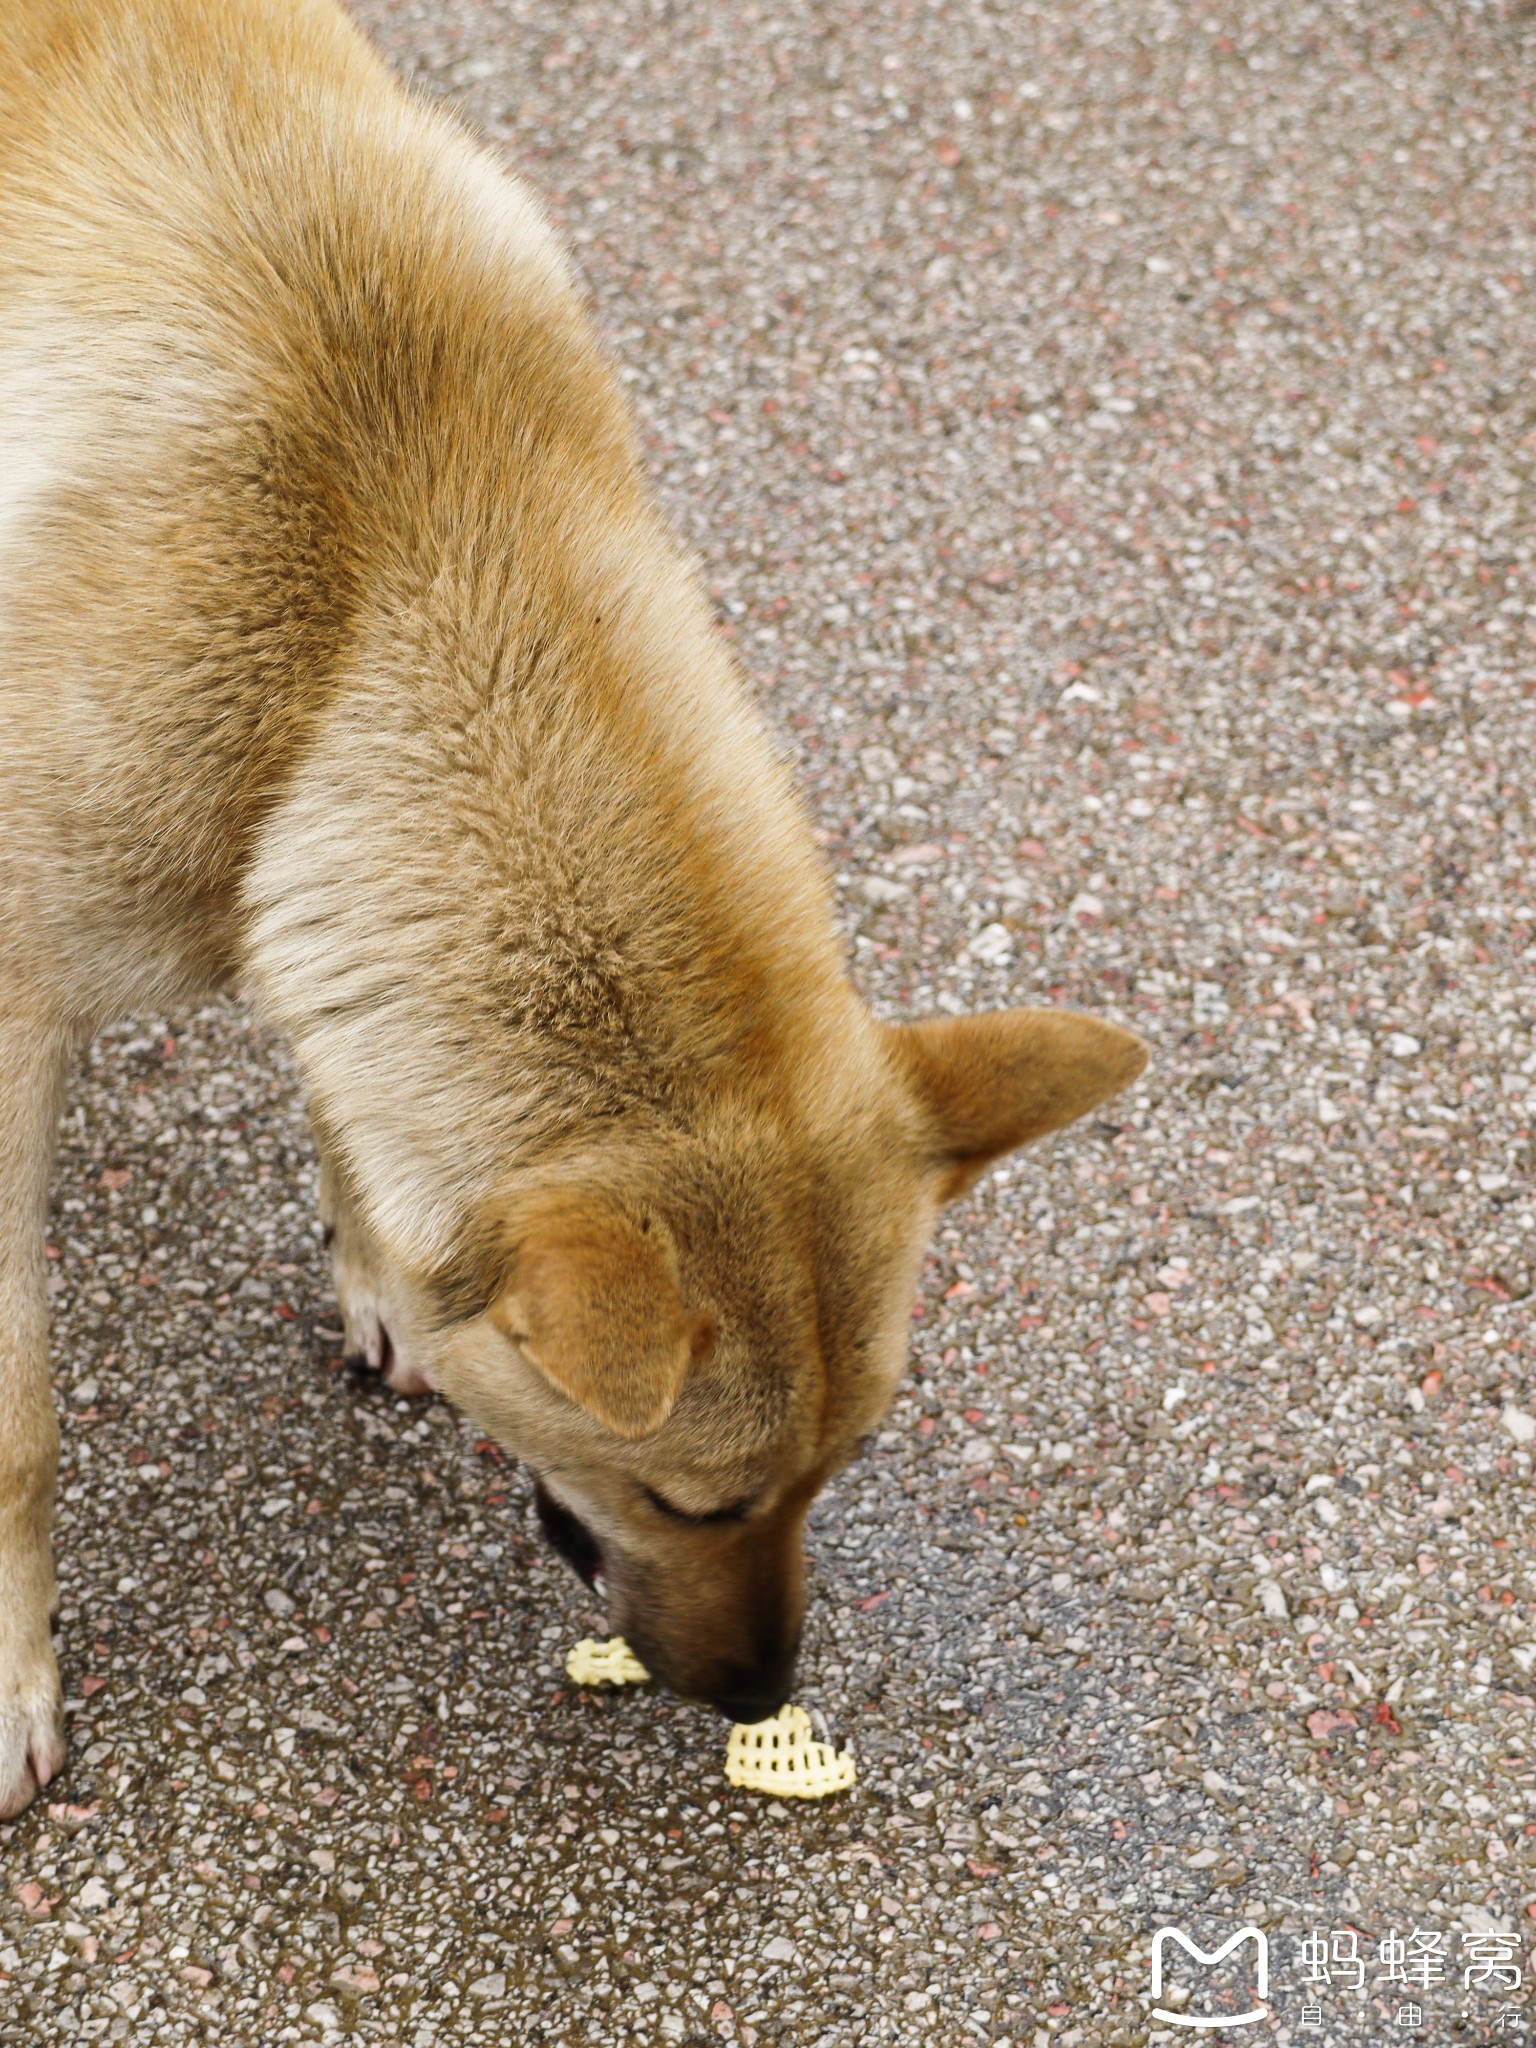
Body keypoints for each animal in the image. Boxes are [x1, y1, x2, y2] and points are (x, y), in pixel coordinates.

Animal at [0, 0, 1146, 1818]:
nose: (767, 1690)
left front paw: (377, 1260)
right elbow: (22, 1425)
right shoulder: (15, 1011)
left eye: (840, 1469)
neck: (391, 566)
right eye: (688, 1499)